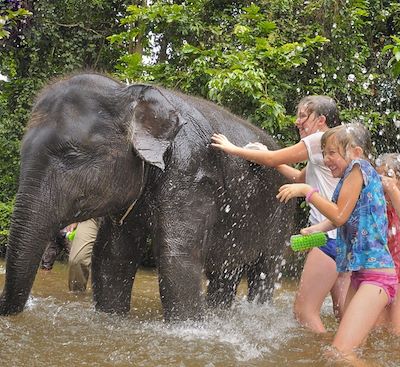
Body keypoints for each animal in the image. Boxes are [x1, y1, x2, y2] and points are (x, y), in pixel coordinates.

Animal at [0, 73, 294, 320]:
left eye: (72, 154)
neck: (130, 92)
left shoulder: (191, 174)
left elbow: (176, 257)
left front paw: (188, 326)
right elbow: (112, 255)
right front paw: (111, 317)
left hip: (282, 213)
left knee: (266, 268)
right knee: (224, 269)